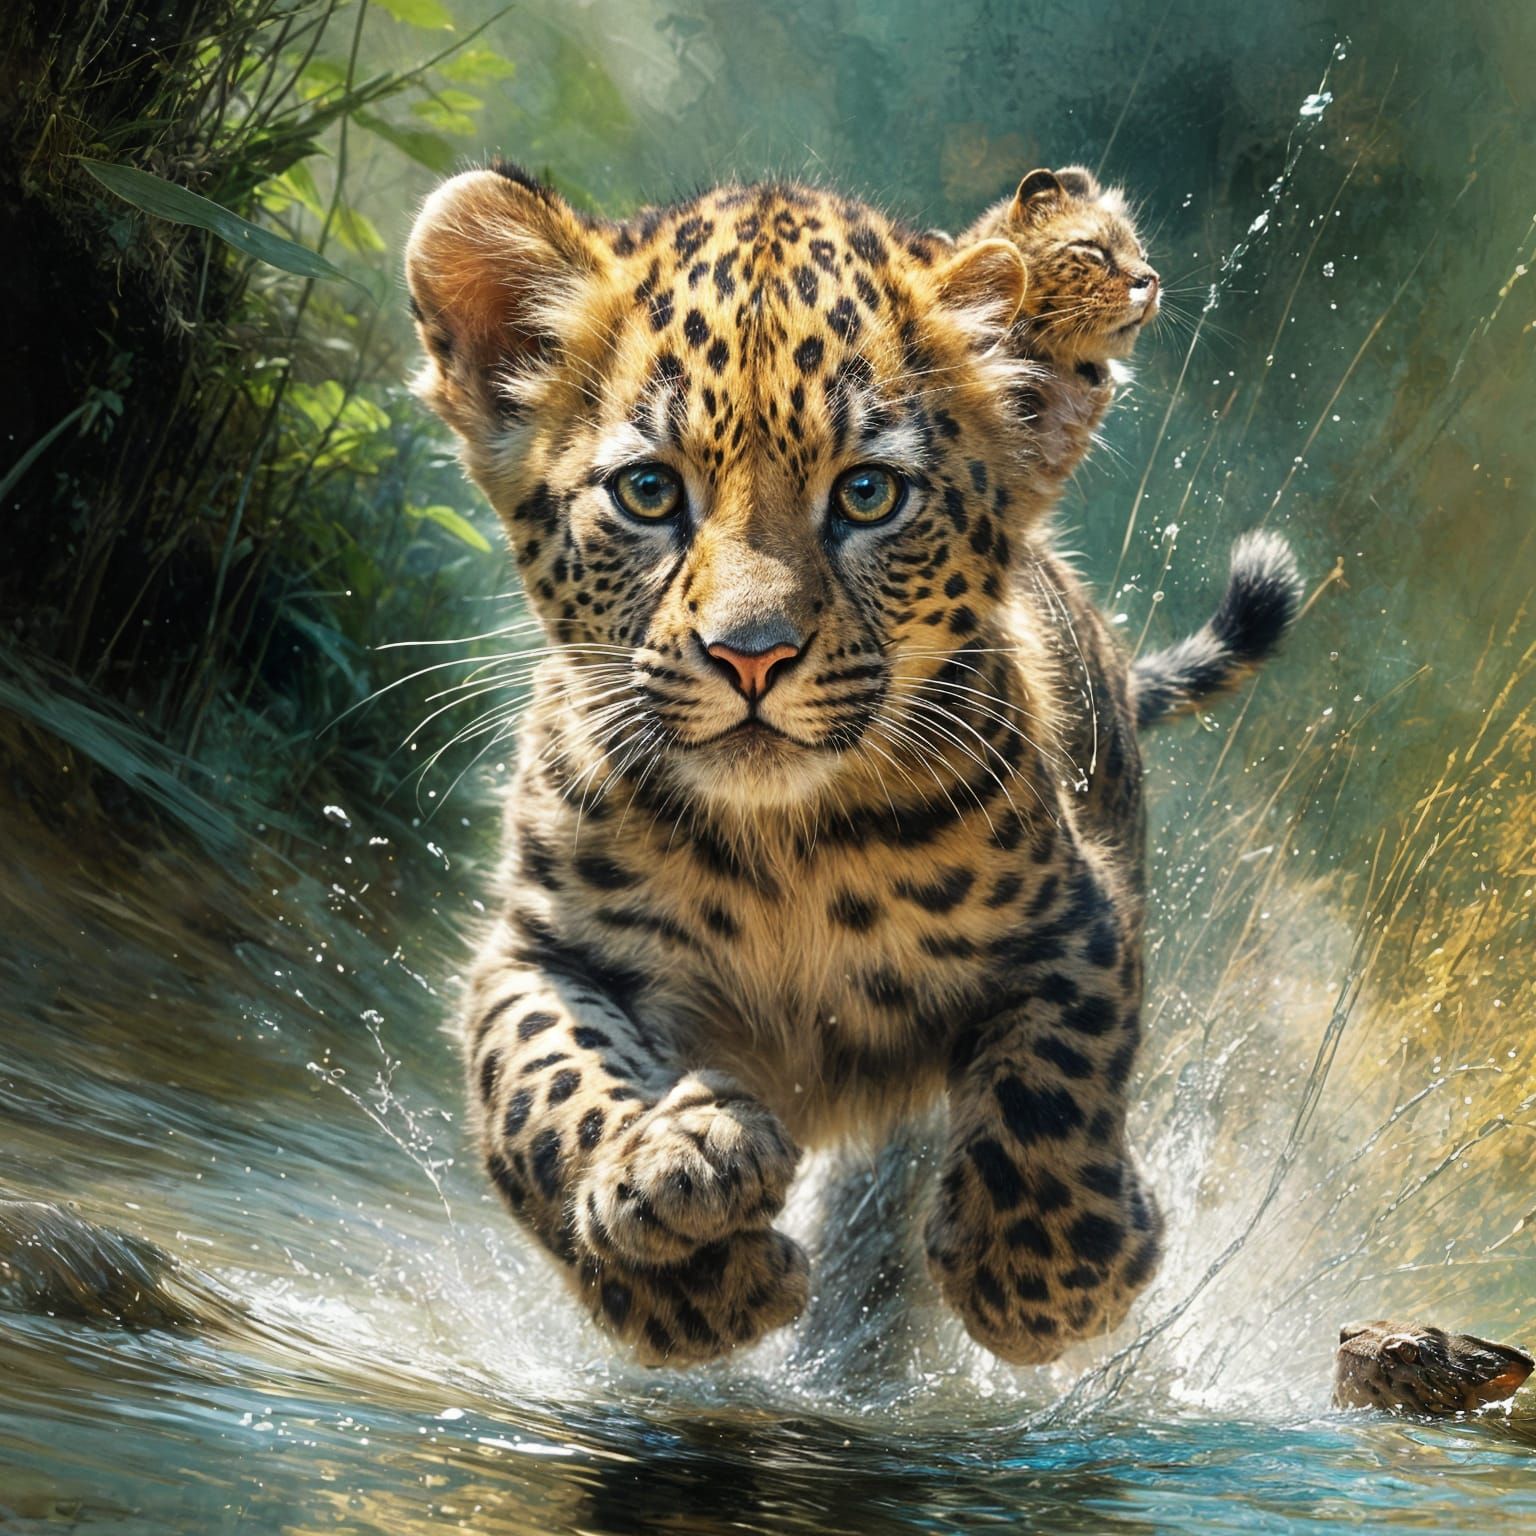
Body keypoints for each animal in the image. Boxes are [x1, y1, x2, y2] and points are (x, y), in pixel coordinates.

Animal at [404, 162, 1303, 1368]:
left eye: (869, 495)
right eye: (649, 493)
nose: (752, 655)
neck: (783, 850)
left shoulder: (1076, 920)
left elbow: (1056, 1070)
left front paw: (1044, 1268)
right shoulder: (543, 945)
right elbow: (539, 1080)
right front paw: (674, 1197)